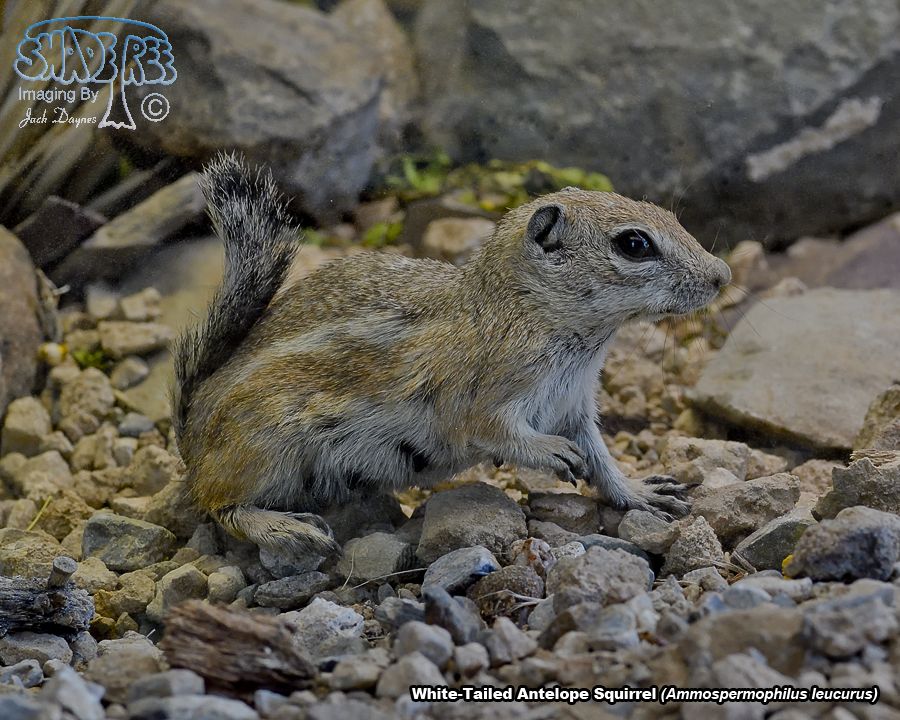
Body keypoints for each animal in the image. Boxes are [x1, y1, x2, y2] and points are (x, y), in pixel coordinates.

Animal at [172, 154, 732, 557]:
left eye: (671, 216)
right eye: (635, 244)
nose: (722, 275)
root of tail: (190, 437)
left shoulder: (575, 406)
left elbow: (601, 459)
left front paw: (640, 491)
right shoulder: (481, 398)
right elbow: (493, 431)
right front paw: (550, 452)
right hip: (264, 450)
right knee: (218, 505)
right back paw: (286, 529)